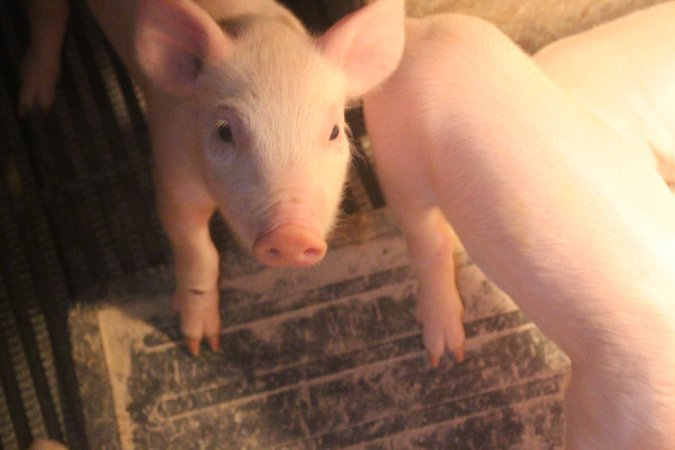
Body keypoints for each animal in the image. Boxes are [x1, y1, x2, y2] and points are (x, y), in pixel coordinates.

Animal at [21, 0, 404, 354]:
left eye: (334, 131)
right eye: (224, 131)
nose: (291, 235)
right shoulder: (172, 173)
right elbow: (198, 250)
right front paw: (200, 345)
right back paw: (34, 107)